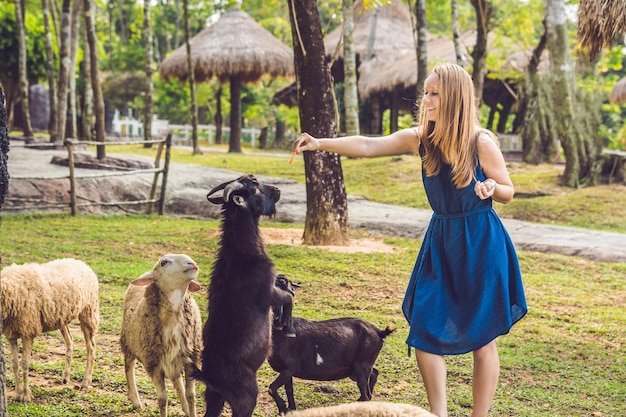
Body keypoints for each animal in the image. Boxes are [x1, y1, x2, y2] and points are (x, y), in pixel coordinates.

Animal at [0, 256, 100, 400]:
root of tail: (81, 262)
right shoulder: (11, 334)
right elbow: (14, 364)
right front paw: (18, 394)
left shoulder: (28, 331)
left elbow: (25, 363)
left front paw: (26, 395)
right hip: (62, 318)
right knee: (70, 341)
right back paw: (66, 377)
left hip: (88, 311)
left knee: (91, 347)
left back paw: (86, 382)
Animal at [119, 252, 202, 416]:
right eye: (164, 262)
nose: (192, 264)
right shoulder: (154, 363)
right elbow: (162, 399)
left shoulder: (191, 358)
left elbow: (191, 395)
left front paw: (190, 409)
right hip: (129, 341)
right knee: (129, 367)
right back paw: (135, 400)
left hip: (174, 358)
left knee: (177, 381)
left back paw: (184, 407)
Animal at [194, 174, 294, 416]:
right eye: (255, 188)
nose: (277, 189)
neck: (240, 254)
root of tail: (208, 377)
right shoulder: (267, 292)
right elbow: (288, 297)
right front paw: (286, 325)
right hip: (245, 397)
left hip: (214, 397)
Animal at [266, 274, 392, 414]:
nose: (276, 316)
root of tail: (378, 332)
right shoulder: (288, 370)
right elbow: (289, 391)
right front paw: (290, 410)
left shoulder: (288, 368)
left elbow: (272, 388)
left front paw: (283, 408)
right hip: (361, 366)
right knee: (374, 374)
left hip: (362, 366)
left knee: (366, 394)